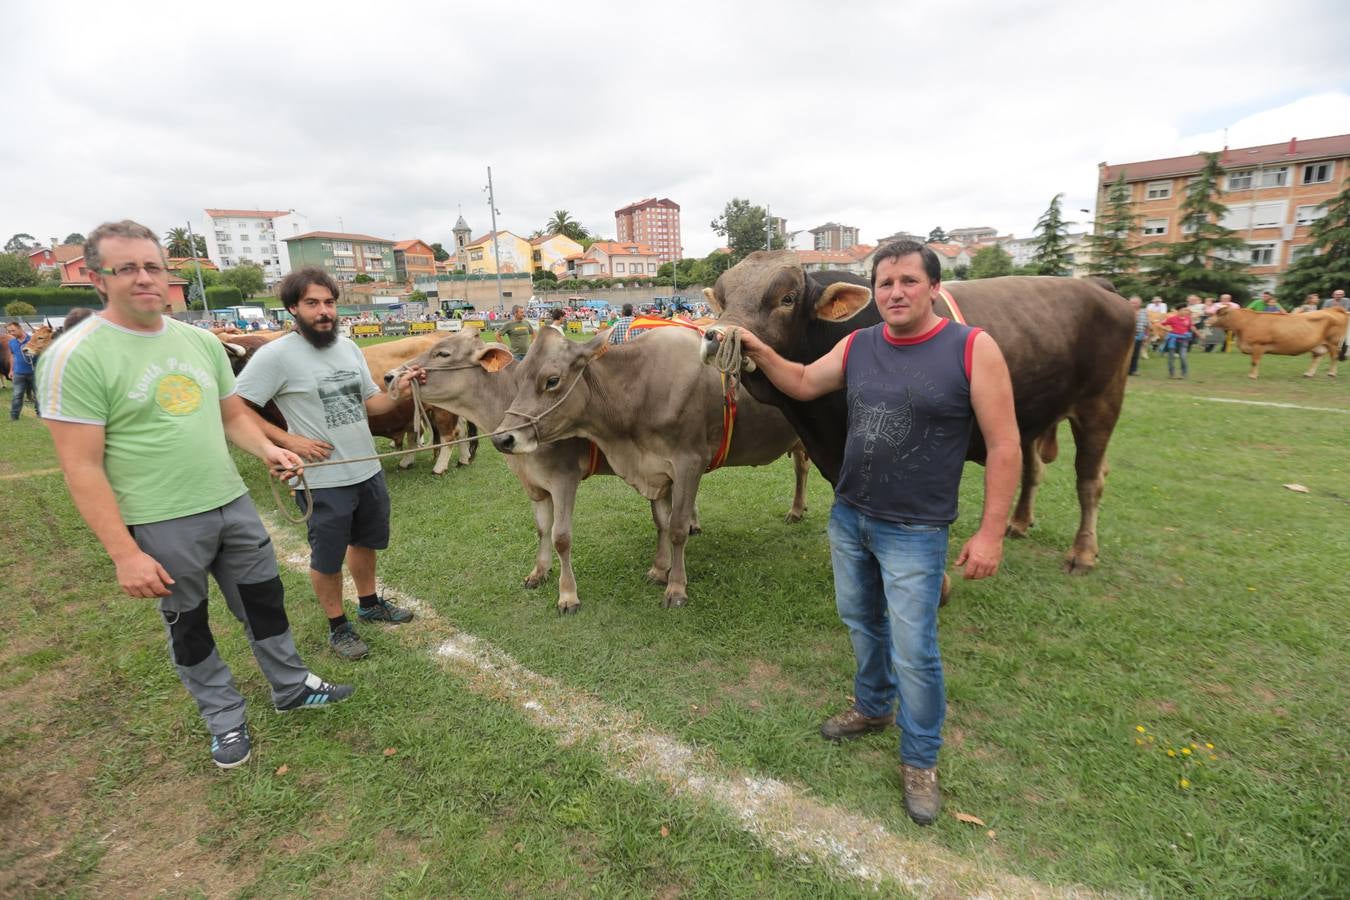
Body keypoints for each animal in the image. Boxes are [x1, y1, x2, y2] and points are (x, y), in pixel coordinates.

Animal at [491, 323, 815, 604]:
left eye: (552, 380)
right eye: (518, 378)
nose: (503, 438)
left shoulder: (689, 462)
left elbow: (678, 527)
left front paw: (676, 587)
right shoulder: (657, 469)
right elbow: (661, 522)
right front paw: (660, 569)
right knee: (801, 467)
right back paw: (797, 510)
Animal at [702, 252, 1134, 577]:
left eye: (788, 298)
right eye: (722, 299)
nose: (717, 336)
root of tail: (1098, 286)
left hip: (1100, 405)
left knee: (1089, 480)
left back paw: (1082, 552)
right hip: (1029, 414)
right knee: (1031, 469)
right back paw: (1019, 522)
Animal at [1209, 304, 1344, 377]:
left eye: (1219, 313)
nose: (1208, 321)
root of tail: (1333, 309)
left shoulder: (1259, 345)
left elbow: (1254, 362)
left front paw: (1252, 375)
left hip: (1333, 342)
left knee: (1334, 357)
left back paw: (1332, 373)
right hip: (1319, 344)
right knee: (1317, 357)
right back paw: (1308, 374)